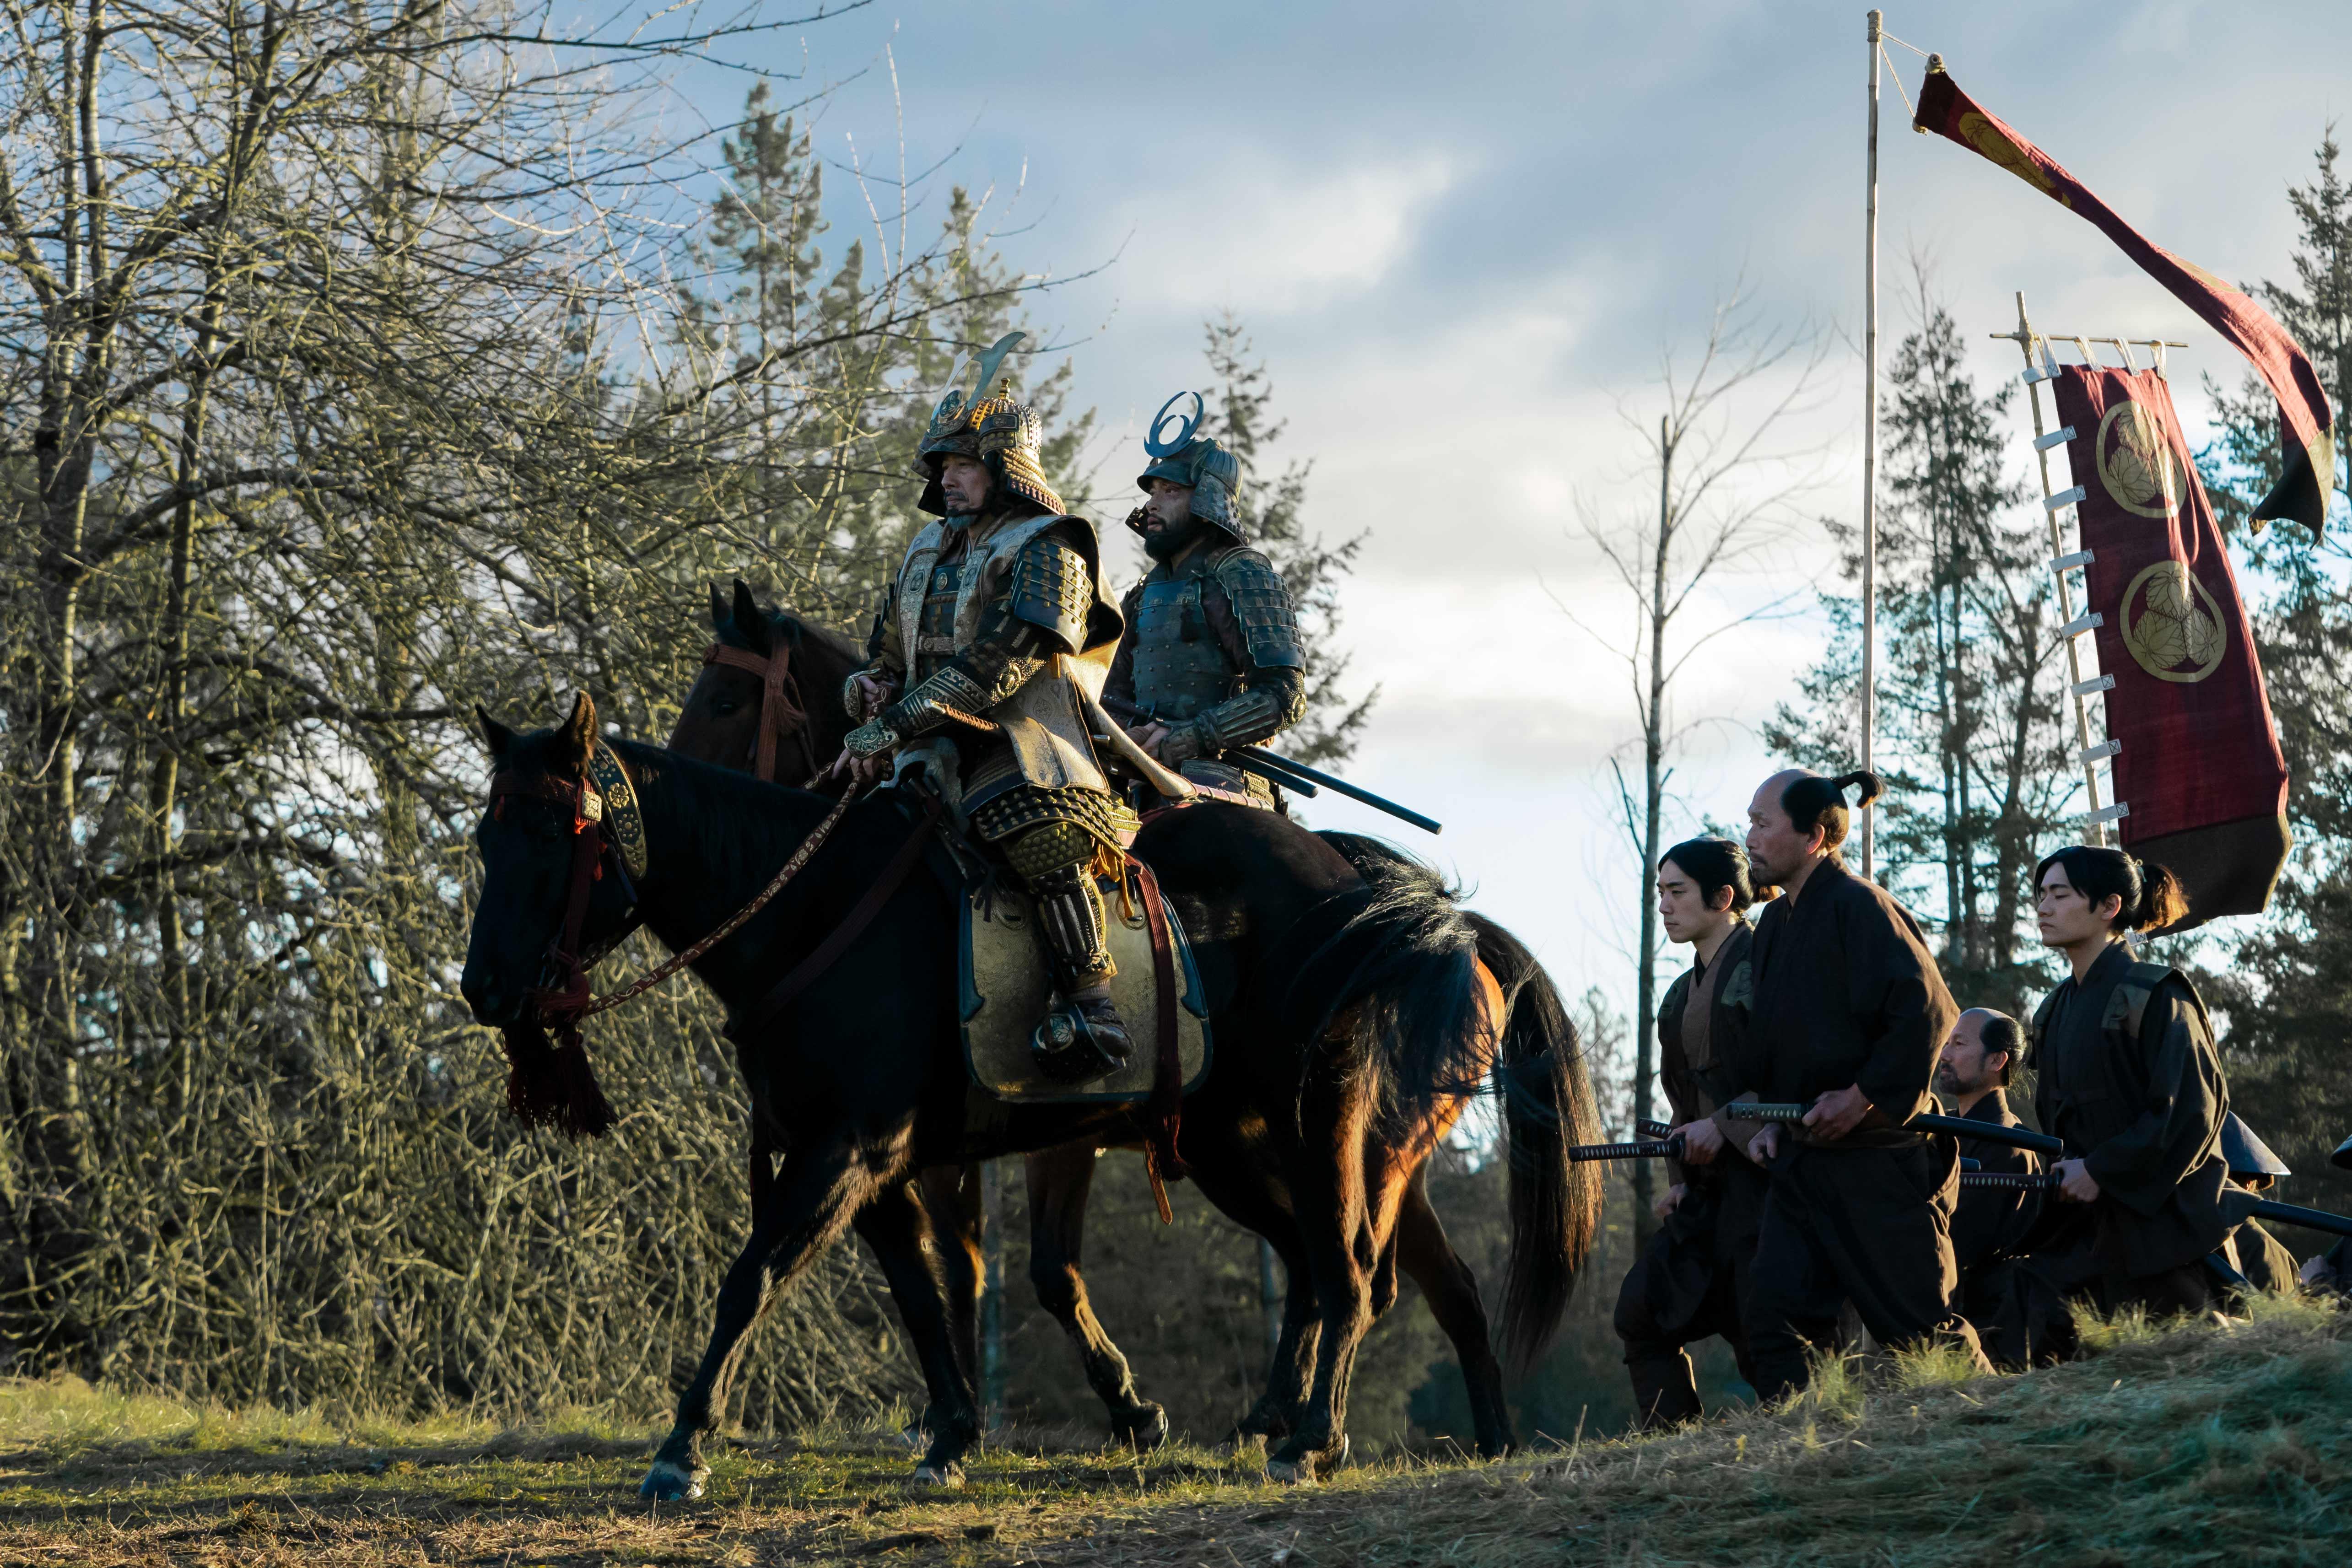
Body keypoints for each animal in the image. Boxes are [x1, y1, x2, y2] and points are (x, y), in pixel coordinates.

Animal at [459, 700, 1599, 1495]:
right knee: (1327, 1271)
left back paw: (1321, 1437)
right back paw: (1323, 1425)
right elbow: (927, 1294)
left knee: (1355, 1272)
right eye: (484, 838)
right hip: (1232, 1145)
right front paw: (953, 1433)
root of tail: (1403, 907)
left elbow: (756, 1275)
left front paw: (682, 1446)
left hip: (1330, 1130)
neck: (815, 916)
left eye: (555, 838)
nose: (484, 988)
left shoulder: (851, 1150)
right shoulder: (878, 1169)